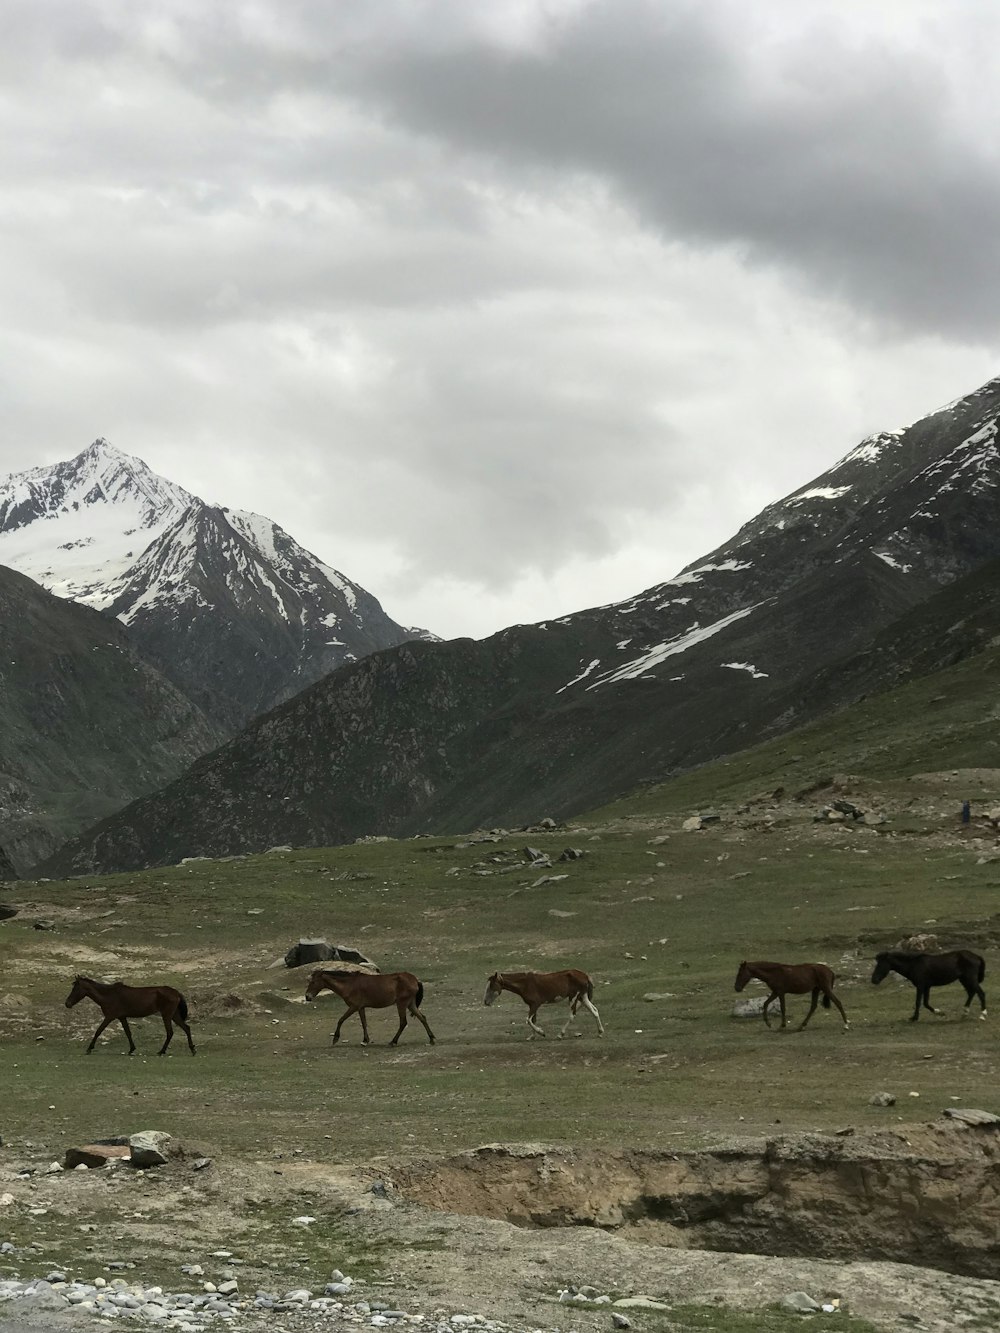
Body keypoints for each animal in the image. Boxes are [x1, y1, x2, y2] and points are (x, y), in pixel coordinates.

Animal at [301, 965, 434, 1045]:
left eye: (313, 982)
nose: (307, 997)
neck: (349, 984)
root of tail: (415, 980)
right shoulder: (361, 1008)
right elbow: (364, 1023)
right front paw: (365, 1040)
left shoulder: (353, 1007)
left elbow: (341, 1020)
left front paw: (335, 1038)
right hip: (410, 1004)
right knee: (422, 1018)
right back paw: (431, 1038)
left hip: (401, 1004)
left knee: (403, 1022)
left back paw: (393, 1041)